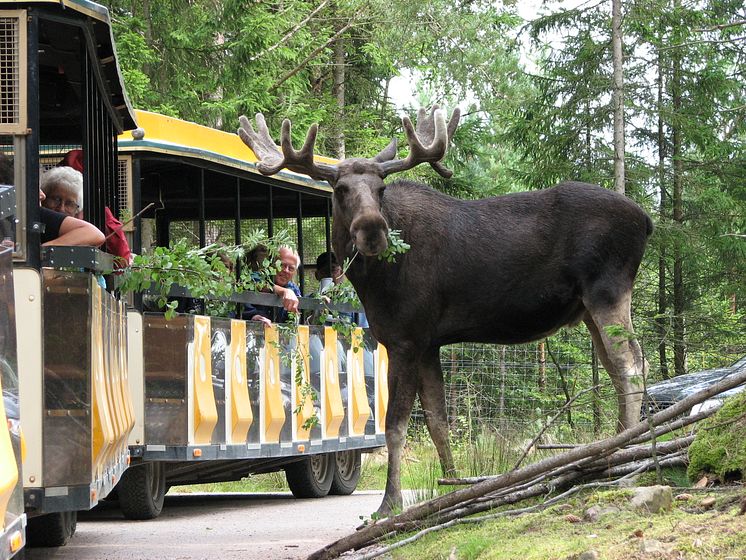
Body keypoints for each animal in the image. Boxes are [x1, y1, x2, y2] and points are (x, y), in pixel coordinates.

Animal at [237, 106, 652, 516]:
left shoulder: (405, 340)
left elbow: (395, 425)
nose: (373, 230)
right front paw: (453, 487)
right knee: (619, 368)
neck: (373, 280)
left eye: (381, 189)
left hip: (607, 291)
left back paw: (624, 451)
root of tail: (646, 221)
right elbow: (438, 421)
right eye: (340, 190)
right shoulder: (428, 343)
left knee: (631, 365)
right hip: (589, 307)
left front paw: (389, 504)